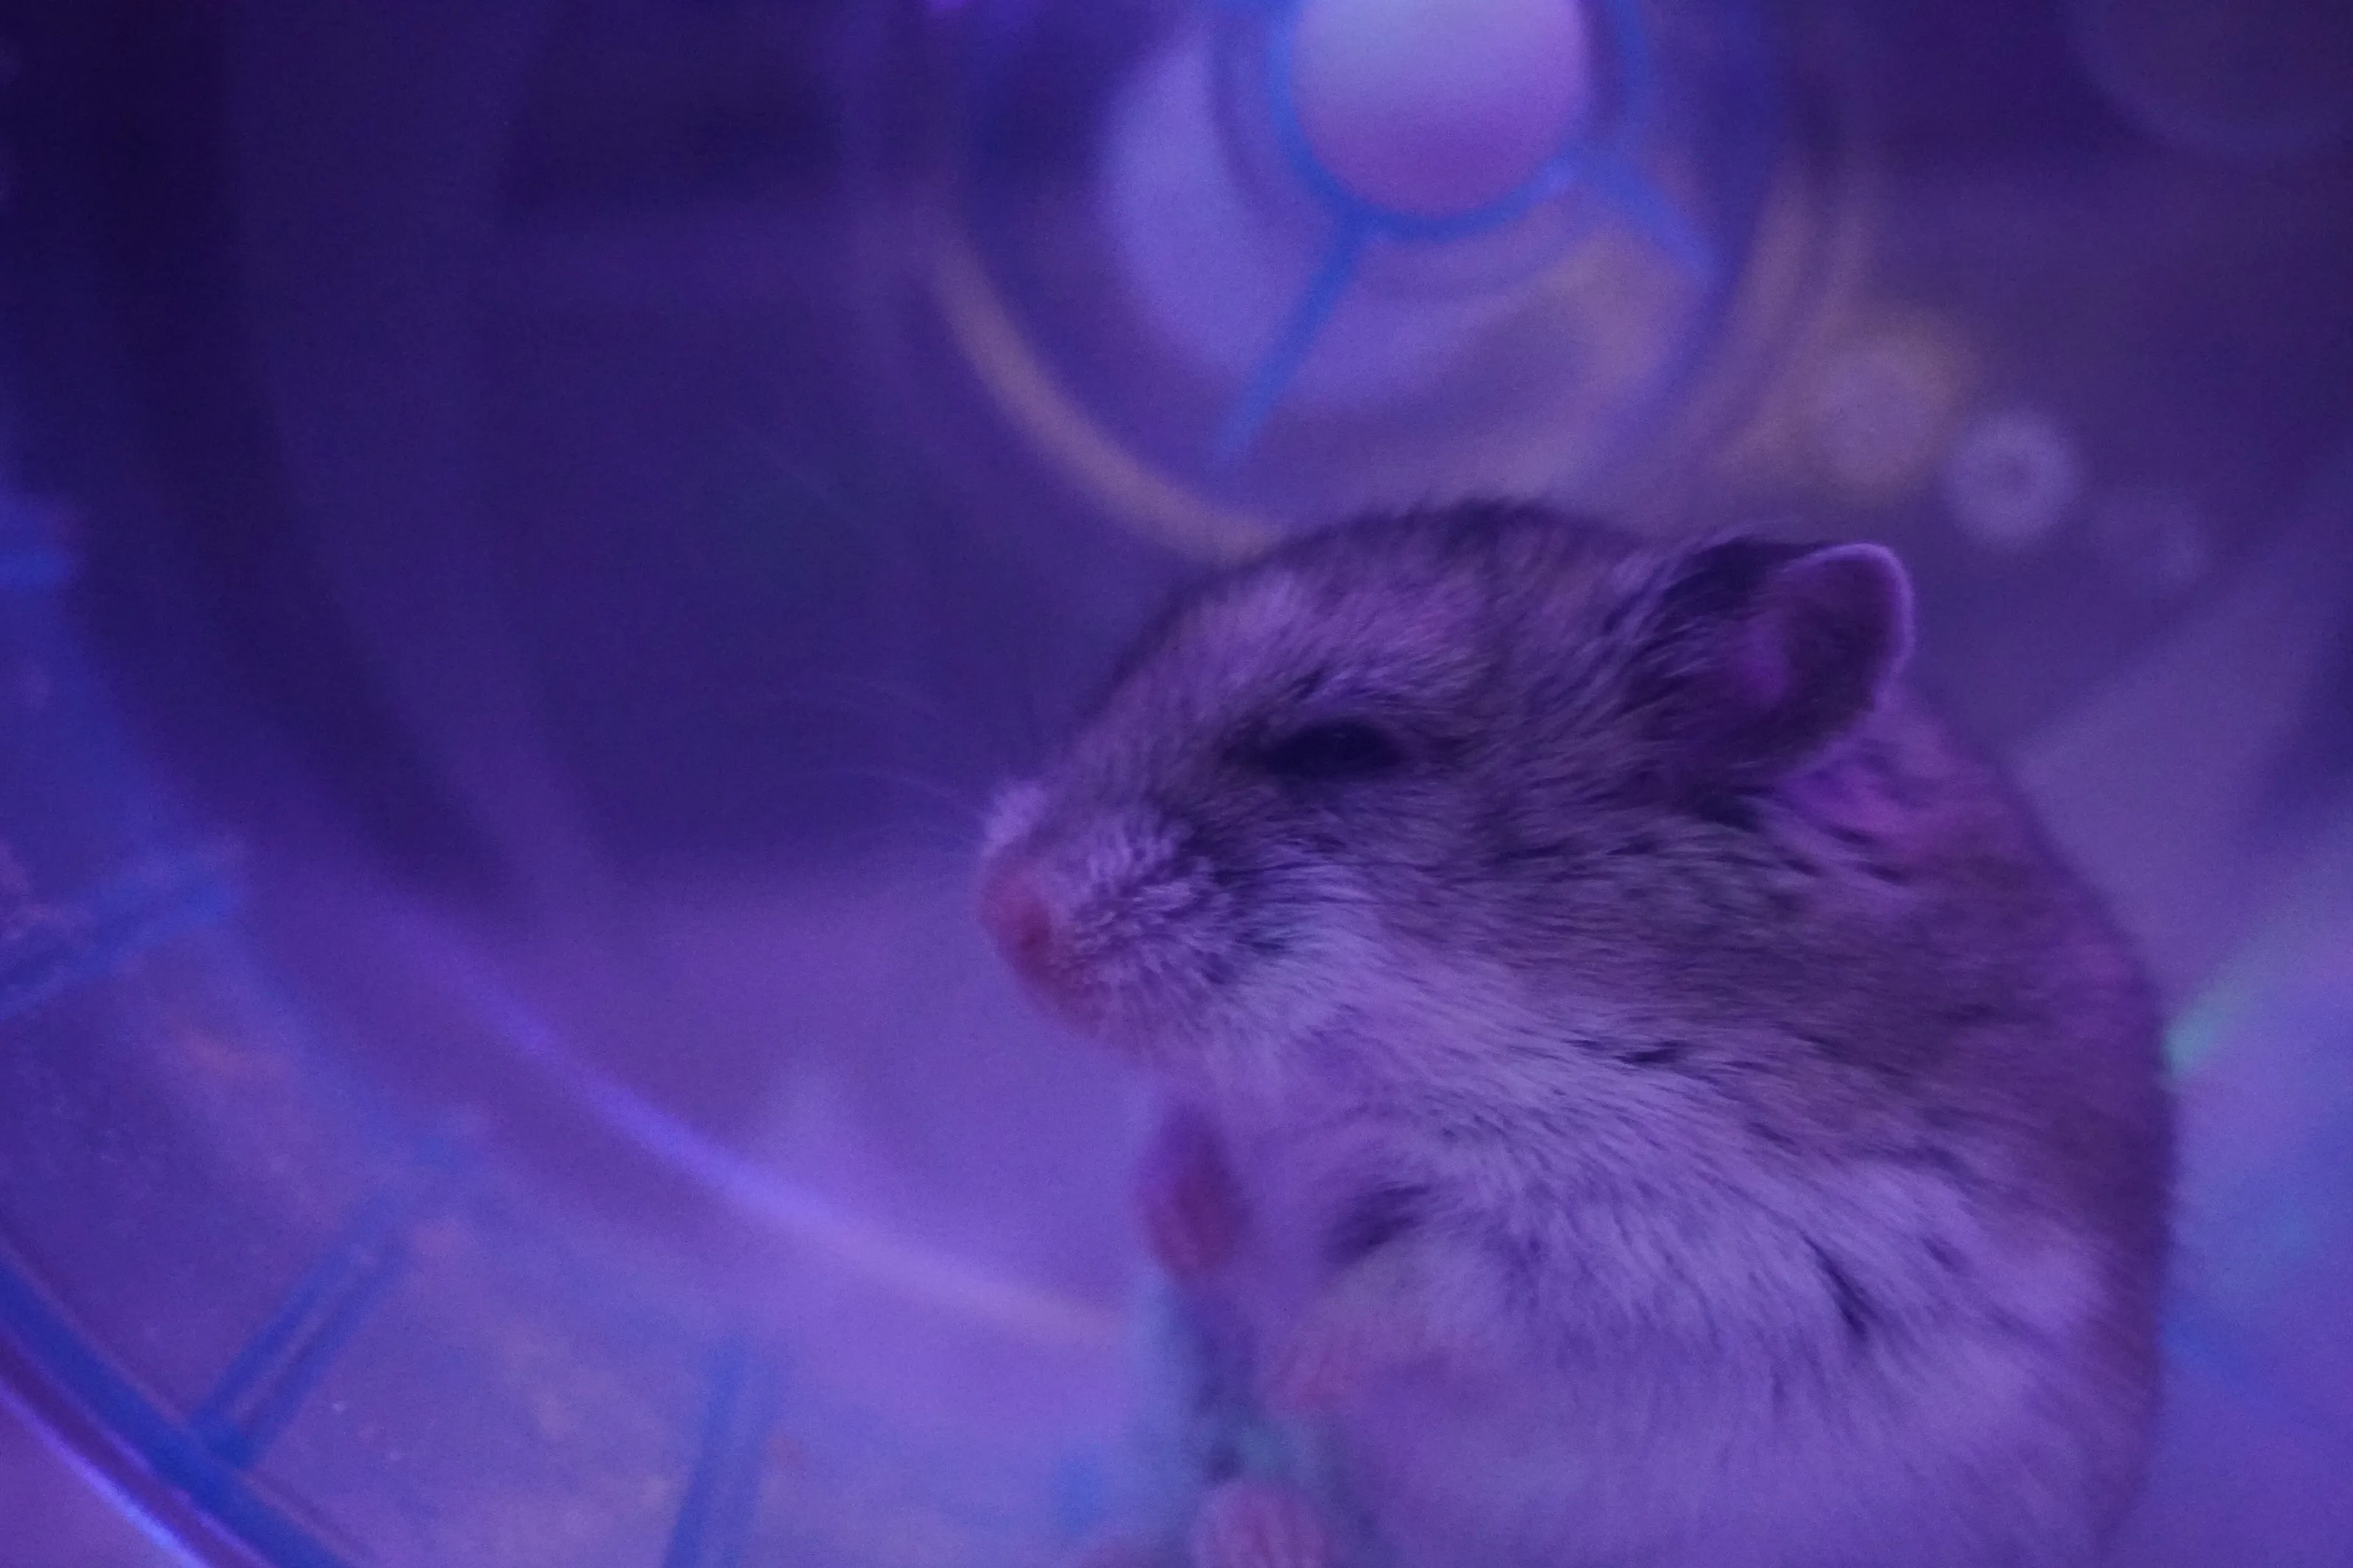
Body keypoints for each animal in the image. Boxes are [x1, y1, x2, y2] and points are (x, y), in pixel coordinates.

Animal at [977, 502, 2172, 1568]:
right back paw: (1236, 1526)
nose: (999, 910)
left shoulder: (1666, 1247)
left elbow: (1425, 1280)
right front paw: (1182, 1231)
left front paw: (1300, 1361)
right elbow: (1177, 1123)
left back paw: (1268, 1528)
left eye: (1339, 748)